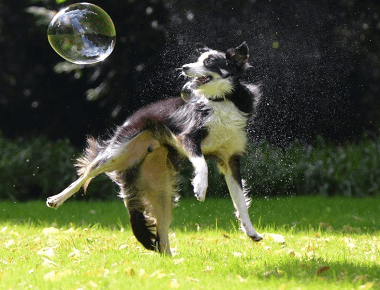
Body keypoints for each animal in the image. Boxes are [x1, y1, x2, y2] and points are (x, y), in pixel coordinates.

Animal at [46, 42, 262, 255]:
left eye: (208, 62)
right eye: (198, 59)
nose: (184, 67)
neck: (222, 100)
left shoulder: (230, 159)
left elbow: (240, 201)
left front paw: (251, 232)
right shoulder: (188, 138)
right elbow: (202, 164)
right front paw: (200, 187)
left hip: (162, 190)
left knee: (162, 236)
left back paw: (171, 260)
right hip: (115, 152)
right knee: (86, 174)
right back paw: (56, 199)